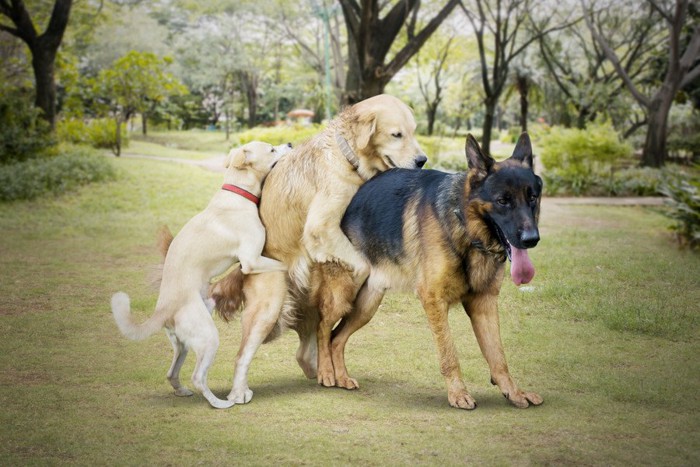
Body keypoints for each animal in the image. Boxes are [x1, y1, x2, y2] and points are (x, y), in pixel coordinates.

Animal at [111, 141, 290, 408]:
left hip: (185, 341)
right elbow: (284, 264)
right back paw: (219, 403)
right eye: (271, 150)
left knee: (172, 373)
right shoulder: (251, 260)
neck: (237, 194)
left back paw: (182, 391)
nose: (289, 143)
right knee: (197, 377)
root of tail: (163, 309)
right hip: (208, 337)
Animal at [211, 93, 426, 404]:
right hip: (267, 308)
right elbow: (360, 265)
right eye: (397, 134)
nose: (423, 160)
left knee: (309, 347)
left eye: (414, 131)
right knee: (247, 353)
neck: (347, 156)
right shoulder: (321, 226)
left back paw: (326, 372)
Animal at [326, 133, 544, 410]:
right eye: (503, 201)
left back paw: (341, 377)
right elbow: (449, 352)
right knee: (322, 329)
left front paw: (513, 392)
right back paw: (325, 374)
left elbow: (498, 355)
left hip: (366, 306)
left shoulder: (484, 304)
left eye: (532, 198)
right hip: (344, 296)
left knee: (336, 338)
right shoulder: (434, 300)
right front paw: (458, 393)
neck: (465, 226)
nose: (531, 239)